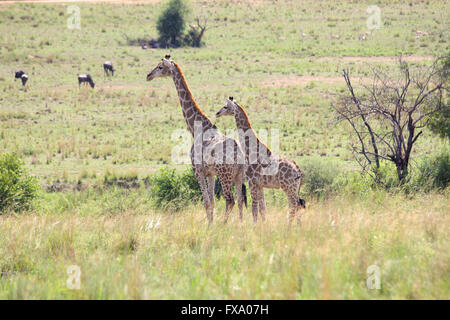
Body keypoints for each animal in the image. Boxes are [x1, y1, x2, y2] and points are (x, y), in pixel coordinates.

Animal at [147, 55, 246, 225]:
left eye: (160, 67)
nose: (148, 75)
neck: (197, 128)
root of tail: (237, 154)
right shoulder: (211, 173)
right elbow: (212, 201)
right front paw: (211, 223)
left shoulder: (197, 170)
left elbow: (205, 202)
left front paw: (209, 225)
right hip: (238, 174)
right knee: (239, 200)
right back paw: (240, 224)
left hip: (225, 175)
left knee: (230, 200)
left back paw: (224, 224)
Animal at [214, 96, 306, 224]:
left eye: (225, 106)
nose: (217, 113)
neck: (249, 150)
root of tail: (298, 170)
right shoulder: (260, 185)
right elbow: (262, 209)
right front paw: (262, 225)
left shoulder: (252, 182)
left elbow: (254, 209)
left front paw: (254, 226)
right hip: (294, 188)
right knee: (297, 205)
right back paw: (296, 226)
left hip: (289, 187)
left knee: (295, 205)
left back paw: (290, 226)